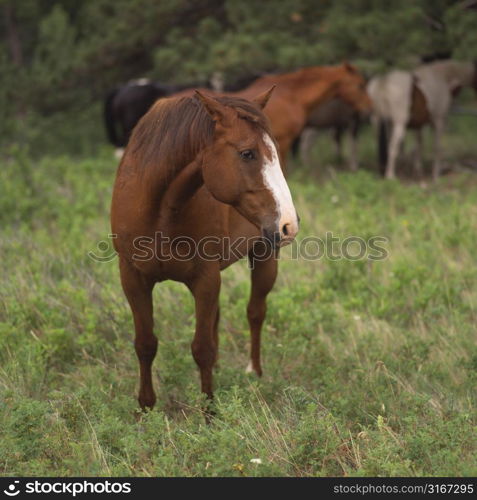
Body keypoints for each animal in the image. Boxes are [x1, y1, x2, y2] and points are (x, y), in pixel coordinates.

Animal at [111, 88, 298, 416]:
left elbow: (202, 348)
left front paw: (209, 411)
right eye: (247, 153)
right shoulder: (132, 277)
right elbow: (145, 343)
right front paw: (146, 409)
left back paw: (255, 372)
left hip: (264, 256)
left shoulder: (205, 278)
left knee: (255, 312)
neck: (160, 210)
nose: (289, 223)